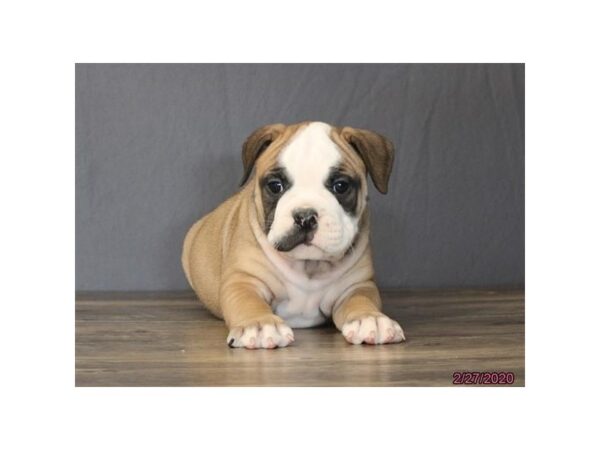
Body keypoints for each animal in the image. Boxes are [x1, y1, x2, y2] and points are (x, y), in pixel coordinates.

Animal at [183, 121, 406, 350]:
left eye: (341, 186)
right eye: (275, 186)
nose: (305, 217)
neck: (308, 265)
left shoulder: (357, 285)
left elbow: (361, 300)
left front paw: (371, 318)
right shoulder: (244, 281)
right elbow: (248, 302)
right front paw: (260, 324)